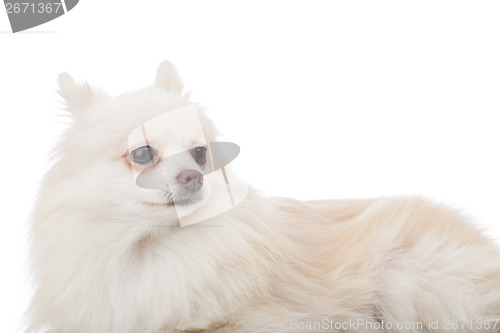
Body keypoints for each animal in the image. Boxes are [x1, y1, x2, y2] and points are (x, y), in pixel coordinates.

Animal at [26, 61, 500, 330]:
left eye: (200, 154)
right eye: (142, 154)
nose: (193, 177)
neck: (152, 248)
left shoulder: (248, 321)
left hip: (411, 280)